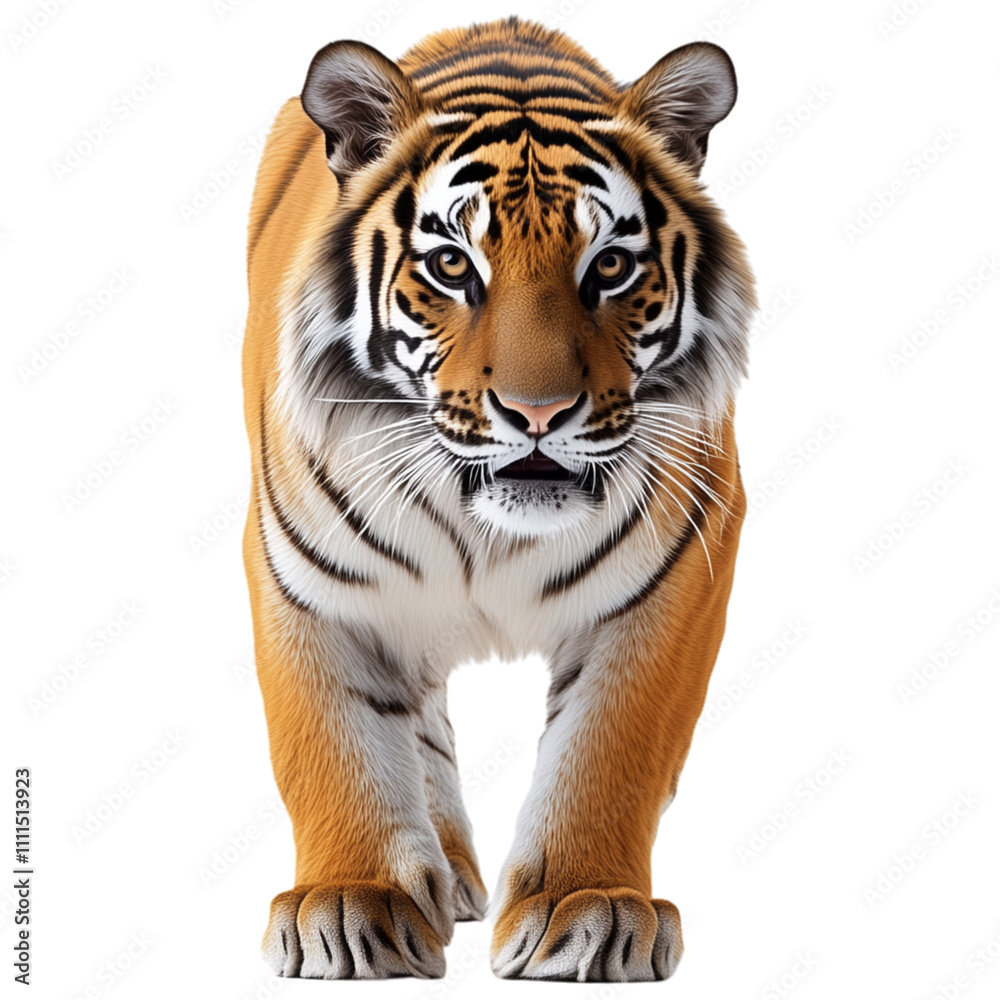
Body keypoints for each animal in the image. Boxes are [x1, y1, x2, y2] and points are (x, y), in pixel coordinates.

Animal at [241, 15, 755, 984]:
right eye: (452, 264)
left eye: (611, 266)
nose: (538, 413)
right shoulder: (304, 578)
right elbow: (331, 741)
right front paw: (352, 900)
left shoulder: (680, 571)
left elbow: (610, 746)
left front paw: (590, 908)